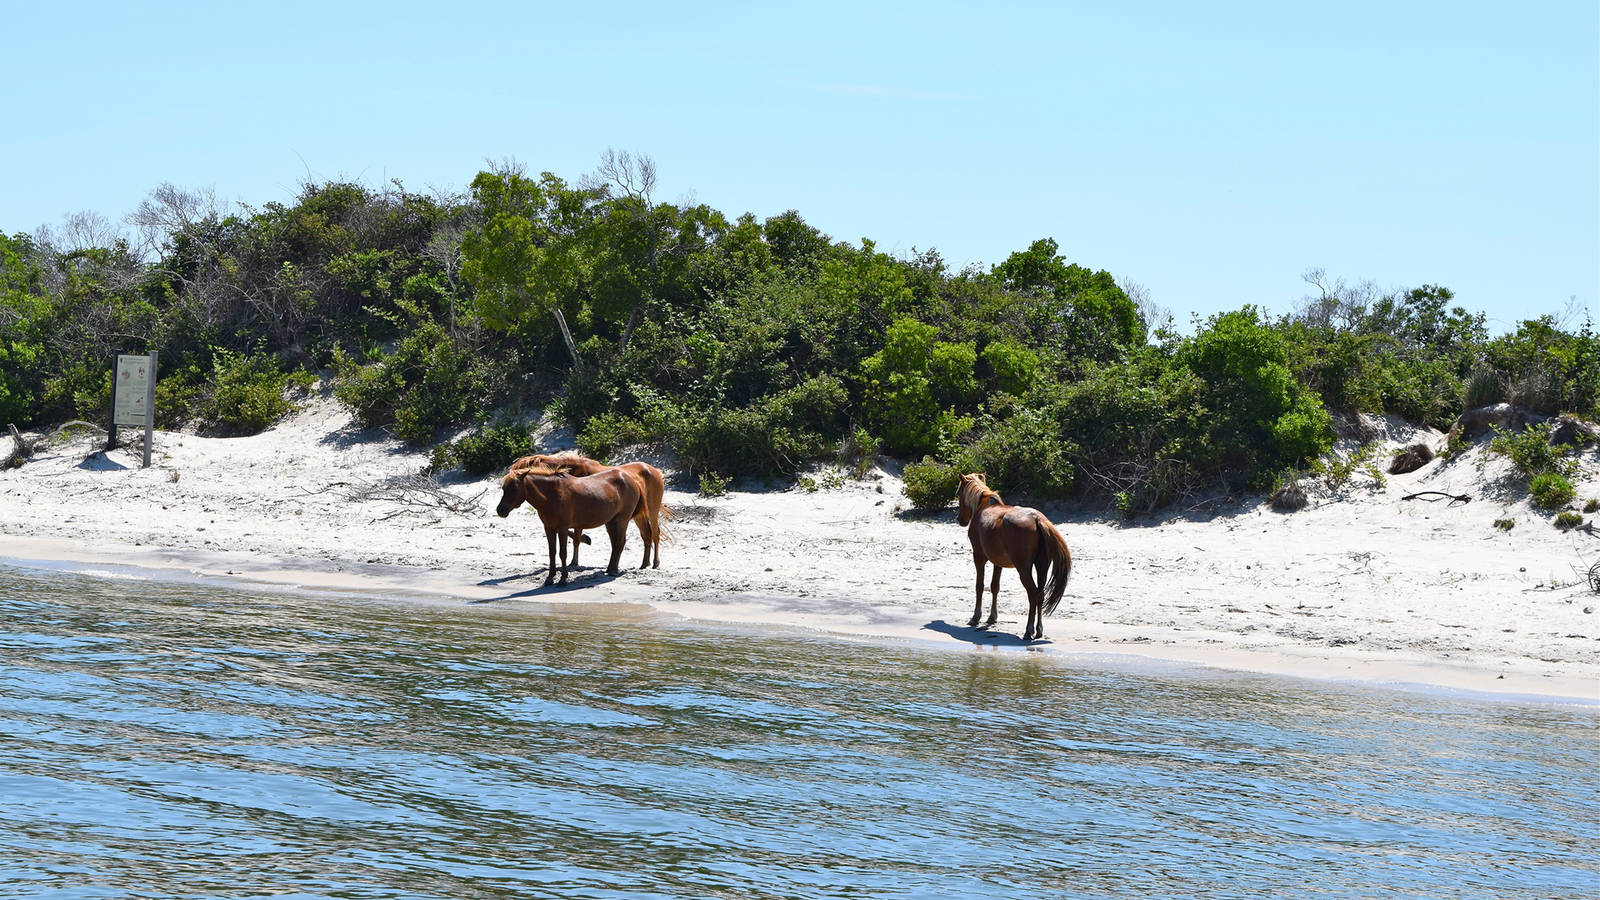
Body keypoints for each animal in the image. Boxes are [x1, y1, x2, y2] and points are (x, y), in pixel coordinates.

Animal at [495, 462, 647, 585]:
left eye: (514, 488)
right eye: (504, 488)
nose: (500, 510)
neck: (551, 495)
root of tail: (633, 481)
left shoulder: (562, 529)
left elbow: (563, 553)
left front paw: (563, 579)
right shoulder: (549, 528)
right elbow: (552, 552)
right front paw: (550, 578)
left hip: (622, 520)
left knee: (619, 543)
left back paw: (612, 571)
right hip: (610, 522)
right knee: (616, 544)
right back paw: (611, 568)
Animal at [510, 452, 668, 570]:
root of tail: (656, 471)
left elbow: (575, 536)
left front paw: (576, 557)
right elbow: (575, 537)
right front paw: (578, 553)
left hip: (652, 510)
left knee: (655, 533)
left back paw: (655, 562)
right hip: (638, 515)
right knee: (646, 535)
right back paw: (644, 563)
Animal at [956, 472, 1072, 641]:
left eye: (958, 493)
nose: (960, 520)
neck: (984, 506)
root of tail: (1037, 519)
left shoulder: (978, 556)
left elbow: (979, 585)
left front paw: (975, 617)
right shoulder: (997, 562)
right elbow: (994, 586)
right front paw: (992, 617)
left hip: (1023, 569)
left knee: (1033, 594)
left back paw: (1028, 630)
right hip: (1042, 566)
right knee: (1040, 594)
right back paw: (1039, 629)